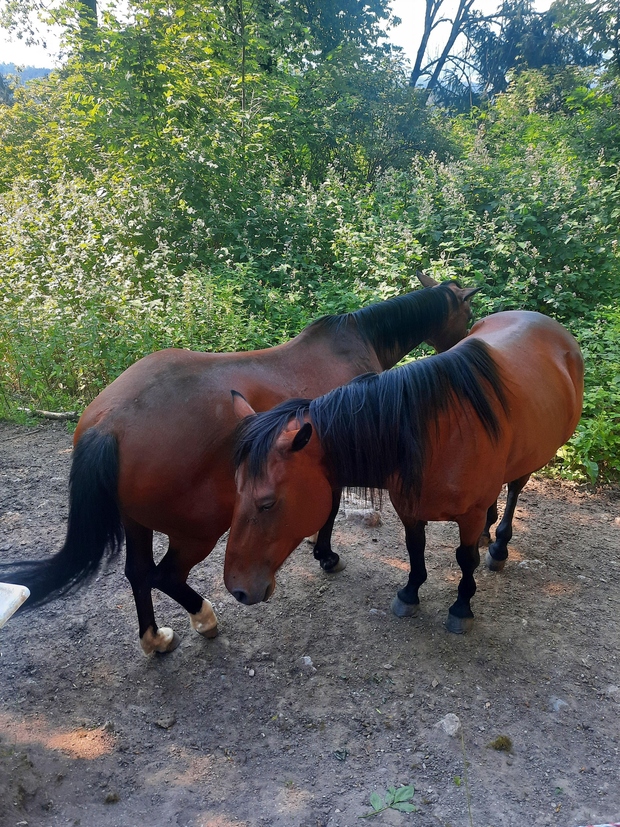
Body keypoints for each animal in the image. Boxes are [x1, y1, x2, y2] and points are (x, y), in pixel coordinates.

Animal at [0, 278, 480, 652]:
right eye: (467, 309)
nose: (470, 339)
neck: (355, 342)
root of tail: (108, 423)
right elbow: (328, 513)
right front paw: (326, 555)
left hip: (136, 522)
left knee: (137, 573)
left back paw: (154, 640)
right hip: (199, 530)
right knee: (164, 575)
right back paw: (205, 617)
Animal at [225, 310, 584, 632]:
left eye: (268, 503)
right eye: (236, 490)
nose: (236, 589)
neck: (436, 433)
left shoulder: (466, 516)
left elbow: (464, 559)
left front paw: (461, 608)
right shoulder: (410, 508)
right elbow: (415, 550)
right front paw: (410, 594)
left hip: (531, 460)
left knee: (514, 490)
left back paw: (498, 548)